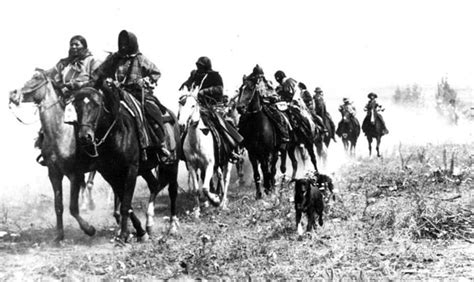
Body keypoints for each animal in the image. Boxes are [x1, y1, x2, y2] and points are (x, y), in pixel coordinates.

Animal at [8, 69, 96, 241]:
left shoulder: (74, 175)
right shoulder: (54, 174)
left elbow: (72, 208)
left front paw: (89, 229)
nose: (13, 93)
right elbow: (58, 206)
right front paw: (59, 236)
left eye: (36, 77)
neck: (59, 134)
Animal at [74, 82, 181, 241]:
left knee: (172, 191)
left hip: (172, 164)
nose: (84, 136)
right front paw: (140, 231)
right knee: (154, 185)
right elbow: (126, 202)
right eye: (76, 106)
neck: (117, 133)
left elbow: (125, 204)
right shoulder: (110, 175)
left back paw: (172, 226)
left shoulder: (131, 169)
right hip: (145, 169)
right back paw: (149, 223)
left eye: (96, 105)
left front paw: (125, 234)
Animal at [177, 87, 231, 217]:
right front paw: (197, 210)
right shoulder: (192, 166)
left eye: (193, 105)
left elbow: (206, 188)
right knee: (220, 178)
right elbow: (197, 189)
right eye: (180, 104)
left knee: (226, 180)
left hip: (228, 162)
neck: (197, 142)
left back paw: (223, 203)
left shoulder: (209, 165)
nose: (181, 125)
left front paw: (215, 200)